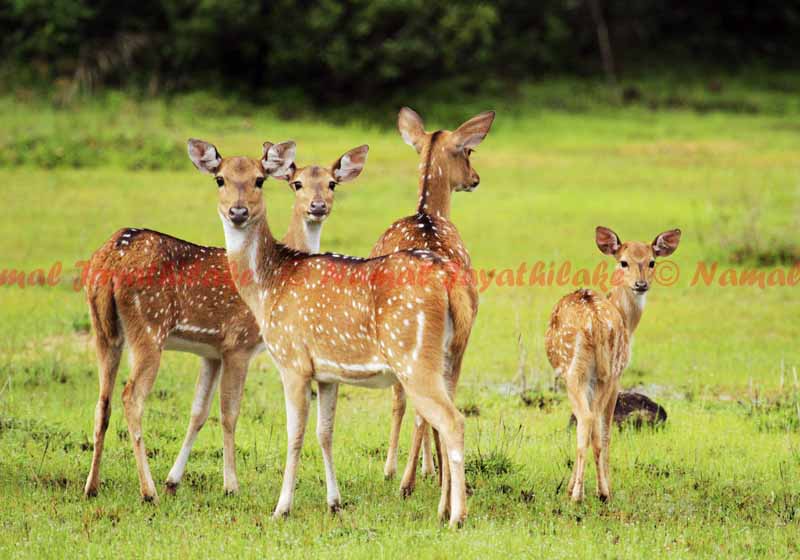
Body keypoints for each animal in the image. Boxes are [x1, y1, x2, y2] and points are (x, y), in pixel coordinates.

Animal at [81, 142, 368, 500]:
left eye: (332, 183)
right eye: (297, 184)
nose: (317, 207)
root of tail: (111, 257)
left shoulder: (211, 352)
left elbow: (198, 412)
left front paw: (174, 479)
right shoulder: (238, 343)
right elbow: (229, 413)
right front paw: (231, 485)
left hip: (104, 330)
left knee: (102, 401)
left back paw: (92, 486)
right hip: (148, 328)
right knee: (130, 398)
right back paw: (148, 491)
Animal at [192, 138, 476, 528]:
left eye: (259, 180)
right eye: (219, 179)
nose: (238, 211)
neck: (268, 288)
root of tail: (449, 279)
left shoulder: (292, 360)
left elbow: (295, 434)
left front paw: (282, 508)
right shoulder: (327, 373)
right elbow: (324, 432)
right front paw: (334, 502)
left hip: (413, 356)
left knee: (453, 422)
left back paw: (456, 517)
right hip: (452, 356)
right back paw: (443, 508)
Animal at [548, 228, 684, 504]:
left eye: (651, 262)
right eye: (624, 262)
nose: (641, 284)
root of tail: (595, 322)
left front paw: (577, 487)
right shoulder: (617, 375)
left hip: (578, 371)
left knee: (588, 421)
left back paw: (583, 493)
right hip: (600, 374)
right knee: (593, 423)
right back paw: (594, 491)